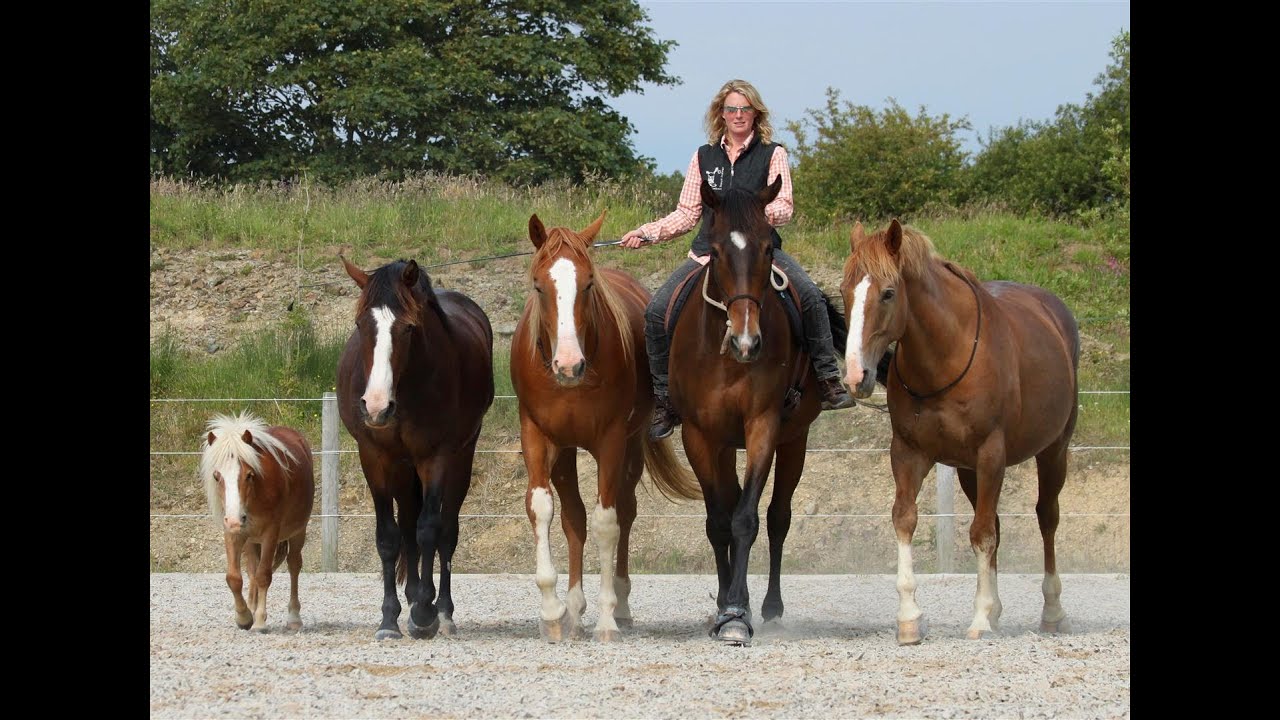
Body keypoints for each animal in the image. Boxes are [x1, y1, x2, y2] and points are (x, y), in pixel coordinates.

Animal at [200, 411, 315, 632]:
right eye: (217, 477)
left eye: (249, 475)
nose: (236, 519)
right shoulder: (233, 532)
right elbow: (234, 577)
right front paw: (244, 617)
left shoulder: (271, 533)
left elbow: (263, 575)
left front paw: (260, 620)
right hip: (251, 540)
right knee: (251, 570)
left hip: (298, 531)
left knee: (293, 566)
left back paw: (294, 617)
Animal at [336, 256, 495, 640]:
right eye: (361, 325)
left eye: (408, 328)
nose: (376, 407)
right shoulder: (375, 458)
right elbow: (389, 537)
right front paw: (389, 618)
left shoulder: (435, 457)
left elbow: (429, 530)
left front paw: (425, 612)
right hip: (402, 468)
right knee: (407, 525)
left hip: (460, 458)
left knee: (446, 532)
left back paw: (443, 611)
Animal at [511, 212, 701, 642]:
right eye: (539, 286)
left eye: (587, 284)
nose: (569, 365)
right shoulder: (538, 437)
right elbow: (544, 510)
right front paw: (553, 611)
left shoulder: (611, 441)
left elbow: (607, 522)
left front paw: (608, 617)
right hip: (566, 454)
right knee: (574, 519)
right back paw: (574, 610)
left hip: (630, 447)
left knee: (625, 513)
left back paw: (621, 605)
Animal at [668, 176, 836, 644]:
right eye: (716, 250)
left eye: (767, 249)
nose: (748, 342)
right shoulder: (700, 436)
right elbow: (718, 522)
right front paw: (725, 607)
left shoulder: (763, 427)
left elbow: (746, 519)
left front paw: (737, 615)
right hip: (726, 447)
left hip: (794, 440)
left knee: (779, 517)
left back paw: (770, 607)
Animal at [840, 219, 1080, 644]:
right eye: (843, 292)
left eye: (888, 293)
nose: (856, 376)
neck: (945, 356)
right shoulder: (908, 453)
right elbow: (906, 519)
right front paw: (910, 617)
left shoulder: (990, 455)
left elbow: (981, 533)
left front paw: (981, 618)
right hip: (969, 471)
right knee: (996, 522)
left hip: (1053, 451)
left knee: (1046, 518)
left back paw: (1052, 611)